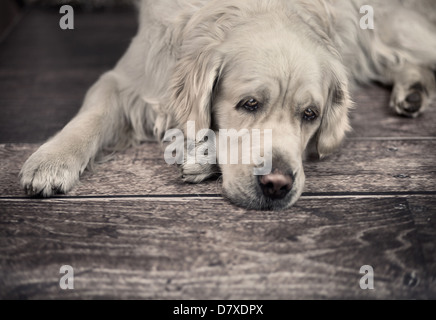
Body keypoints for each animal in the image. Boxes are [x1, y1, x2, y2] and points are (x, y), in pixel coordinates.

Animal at [19, 0, 436, 211]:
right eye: (249, 104)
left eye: (310, 115)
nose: (277, 185)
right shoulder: (127, 79)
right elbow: (91, 116)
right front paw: (51, 160)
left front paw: (203, 157)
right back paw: (412, 89)